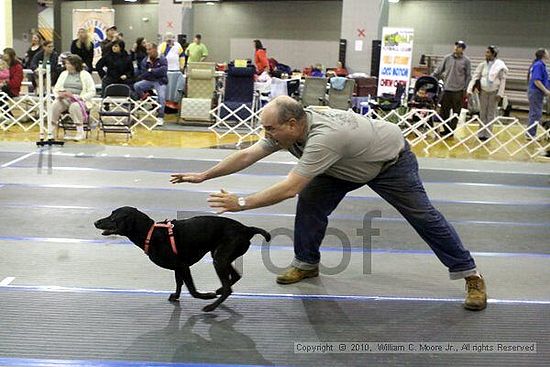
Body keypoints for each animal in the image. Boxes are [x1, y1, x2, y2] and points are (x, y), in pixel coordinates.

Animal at [97, 208, 274, 312]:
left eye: (113, 218)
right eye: (110, 214)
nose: (96, 221)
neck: (150, 233)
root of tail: (247, 229)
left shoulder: (183, 266)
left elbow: (192, 290)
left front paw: (206, 296)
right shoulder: (178, 268)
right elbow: (179, 284)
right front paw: (175, 296)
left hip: (220, 258)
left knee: (228, 288)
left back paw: (211, 305)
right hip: (219, 256)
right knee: (235, 277)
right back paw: (218, 291)